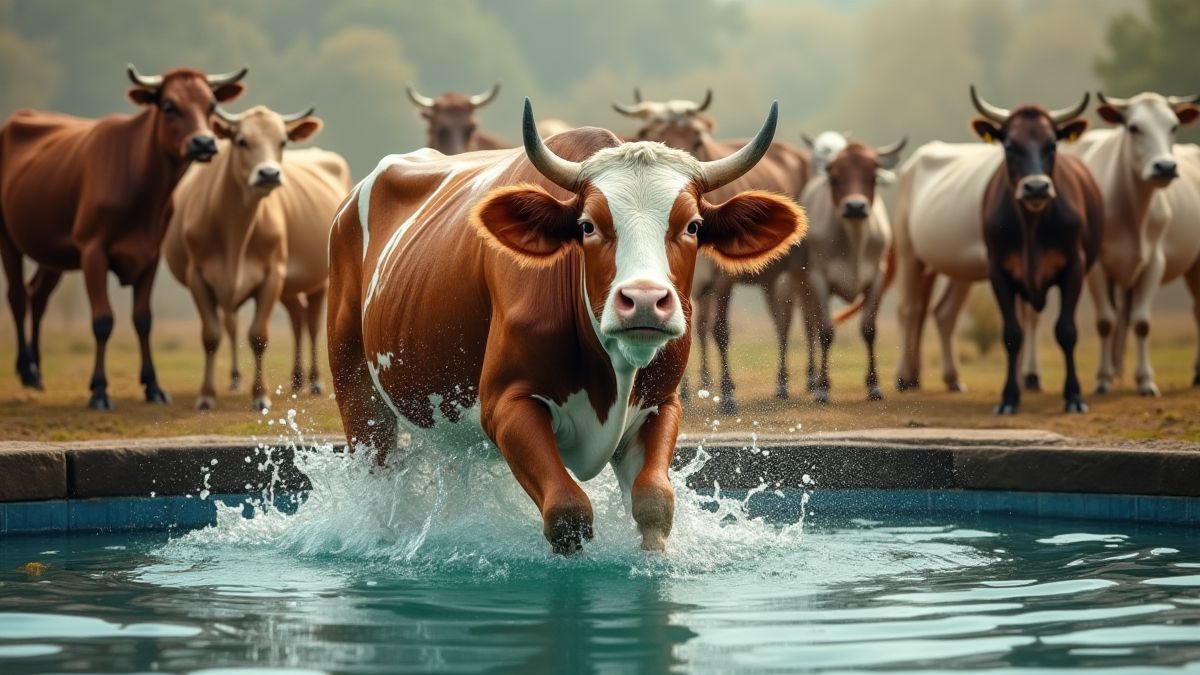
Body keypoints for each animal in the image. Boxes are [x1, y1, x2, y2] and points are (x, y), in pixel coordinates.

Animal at [0, 64, 247, 409]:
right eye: (168, 106)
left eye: (211, 105)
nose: (203, 143)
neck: (140, 183)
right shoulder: (93, 252)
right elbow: (103, 320)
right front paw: (100, 390)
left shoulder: (150, 255)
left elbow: (143, 318)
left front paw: (153, 386)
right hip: (7, 236)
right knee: (17, 296)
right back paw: (27, 369)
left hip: (53, 252)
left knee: (38, 296)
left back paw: (36, 374)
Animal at [163, 105, 351, 411]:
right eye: (241, 141)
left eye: (282, 142)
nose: (269, 173)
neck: (235, 233)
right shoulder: (197, 277)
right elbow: (211, 335)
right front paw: (206, 395)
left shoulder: (272, 275)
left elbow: (258, 335)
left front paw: (260, 395)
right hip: (289, 286)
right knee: (296, 319)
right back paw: (296, 380)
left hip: (319, 280)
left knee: (311, 323)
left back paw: (314, 381)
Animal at [613, 90, 809, 412]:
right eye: (651, 135)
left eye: (696, 140)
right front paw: (684, 392)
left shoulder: (722, 279)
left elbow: (721, 330)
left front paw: (728, 394)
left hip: (798, 270)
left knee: (793, 321)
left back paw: (796, 383)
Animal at [797, 137, 906, 404]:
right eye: (835, 177)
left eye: (873, 176)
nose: (855, 206)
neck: (854, 239)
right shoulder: (818, 279)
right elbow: (825, 331)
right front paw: (823, 387)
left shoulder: (877, 278)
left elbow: (869, 329)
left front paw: (874, 385)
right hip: (803, 286)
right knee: (810, 325)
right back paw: (812, 378)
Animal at [968, 87, 1101, 415]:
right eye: (1010, 146)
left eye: (1051, 144)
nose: (1037, 187)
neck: (1031, 225)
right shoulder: (999, 272)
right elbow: (1011, 334)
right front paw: (1008, 397)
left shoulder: (1074, 268)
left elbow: (1066, 331)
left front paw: (1074, 396)